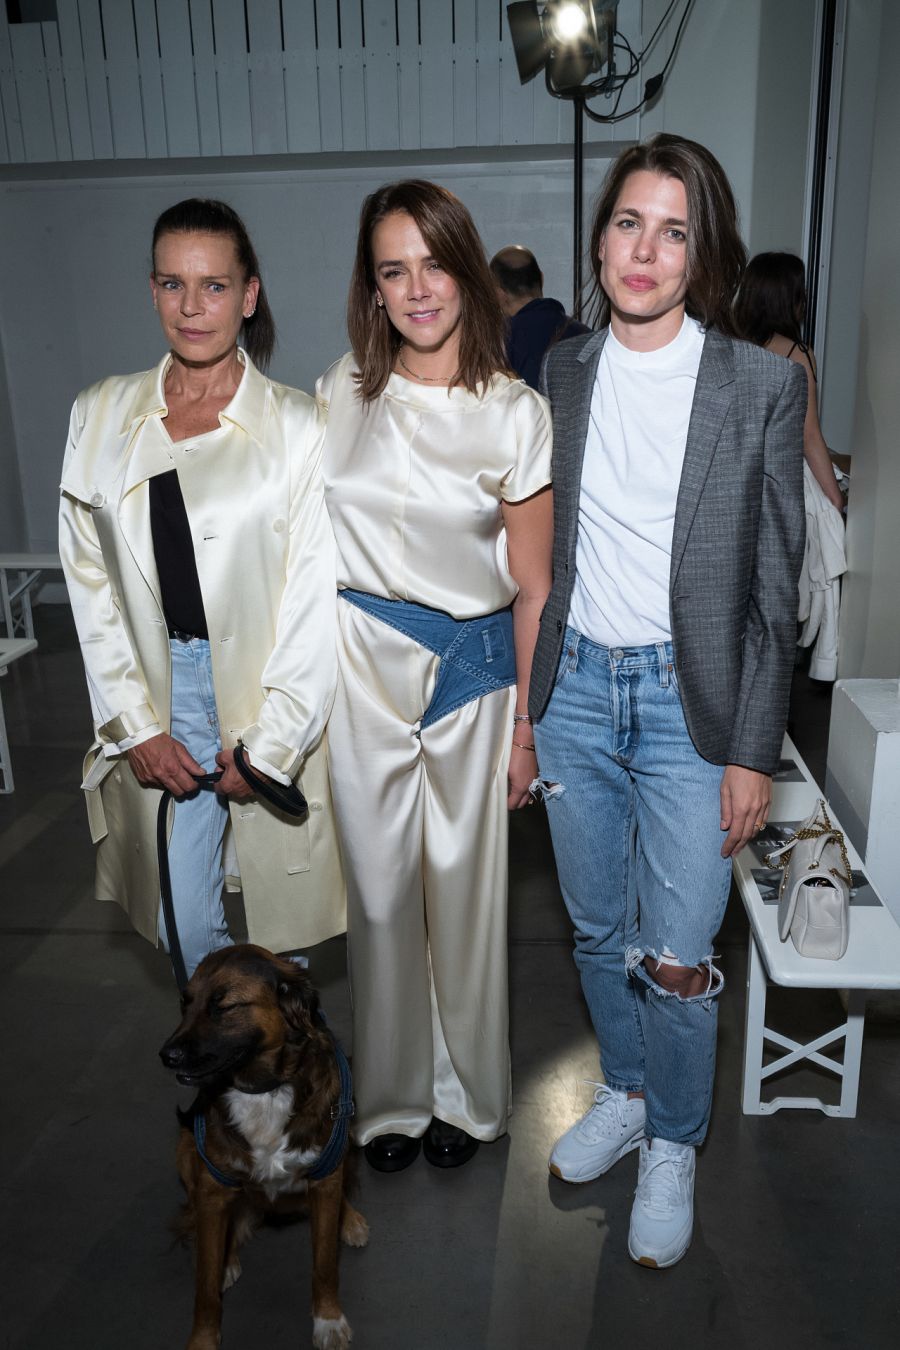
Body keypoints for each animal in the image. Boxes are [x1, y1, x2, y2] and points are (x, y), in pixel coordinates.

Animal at [159, 945, 369, 1350]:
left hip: (347, 1141)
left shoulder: (324, 1179)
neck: (263, 1090)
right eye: (184, 1003)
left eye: (224, 1007)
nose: (166, 1055)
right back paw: (227, 1258)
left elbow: (324, 1265)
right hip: (185, 1148)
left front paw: (328, 1320)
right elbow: (204, 1286)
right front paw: (203, 1339)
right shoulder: (212, 1190)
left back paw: (349, 1220)